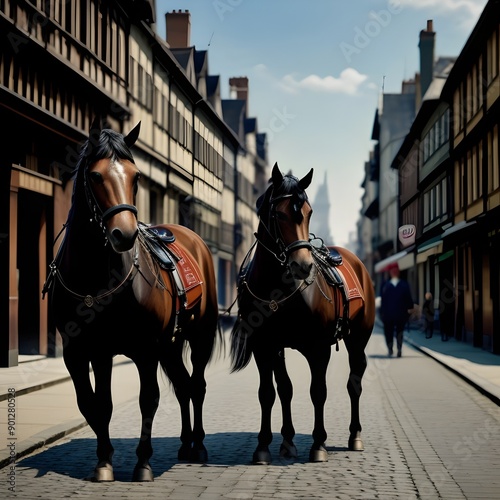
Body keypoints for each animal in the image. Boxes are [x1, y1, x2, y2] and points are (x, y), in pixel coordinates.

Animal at [44, 119, 220, 482]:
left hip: (198, 337)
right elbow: (95, 404)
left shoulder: (145, 349)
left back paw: (197, 445)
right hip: (170, 346)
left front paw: (143, 463)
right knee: (183, 386)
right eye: (96, 176)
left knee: (196, 386)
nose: (123, 234)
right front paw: (104, 461)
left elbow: (148, 400)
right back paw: (184, 444)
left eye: (136, 176)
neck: (94, 278)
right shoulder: (82, 352)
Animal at [230, 163, 376, 464]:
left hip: (358, 340)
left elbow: (318, 392)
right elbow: (274, 391)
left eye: (309, 212)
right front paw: (271, 444)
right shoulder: (266, 346)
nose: (303, 265)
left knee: (354, 382)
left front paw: (318, 444)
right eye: (279, 213)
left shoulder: (318, 348)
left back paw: (355, 435)